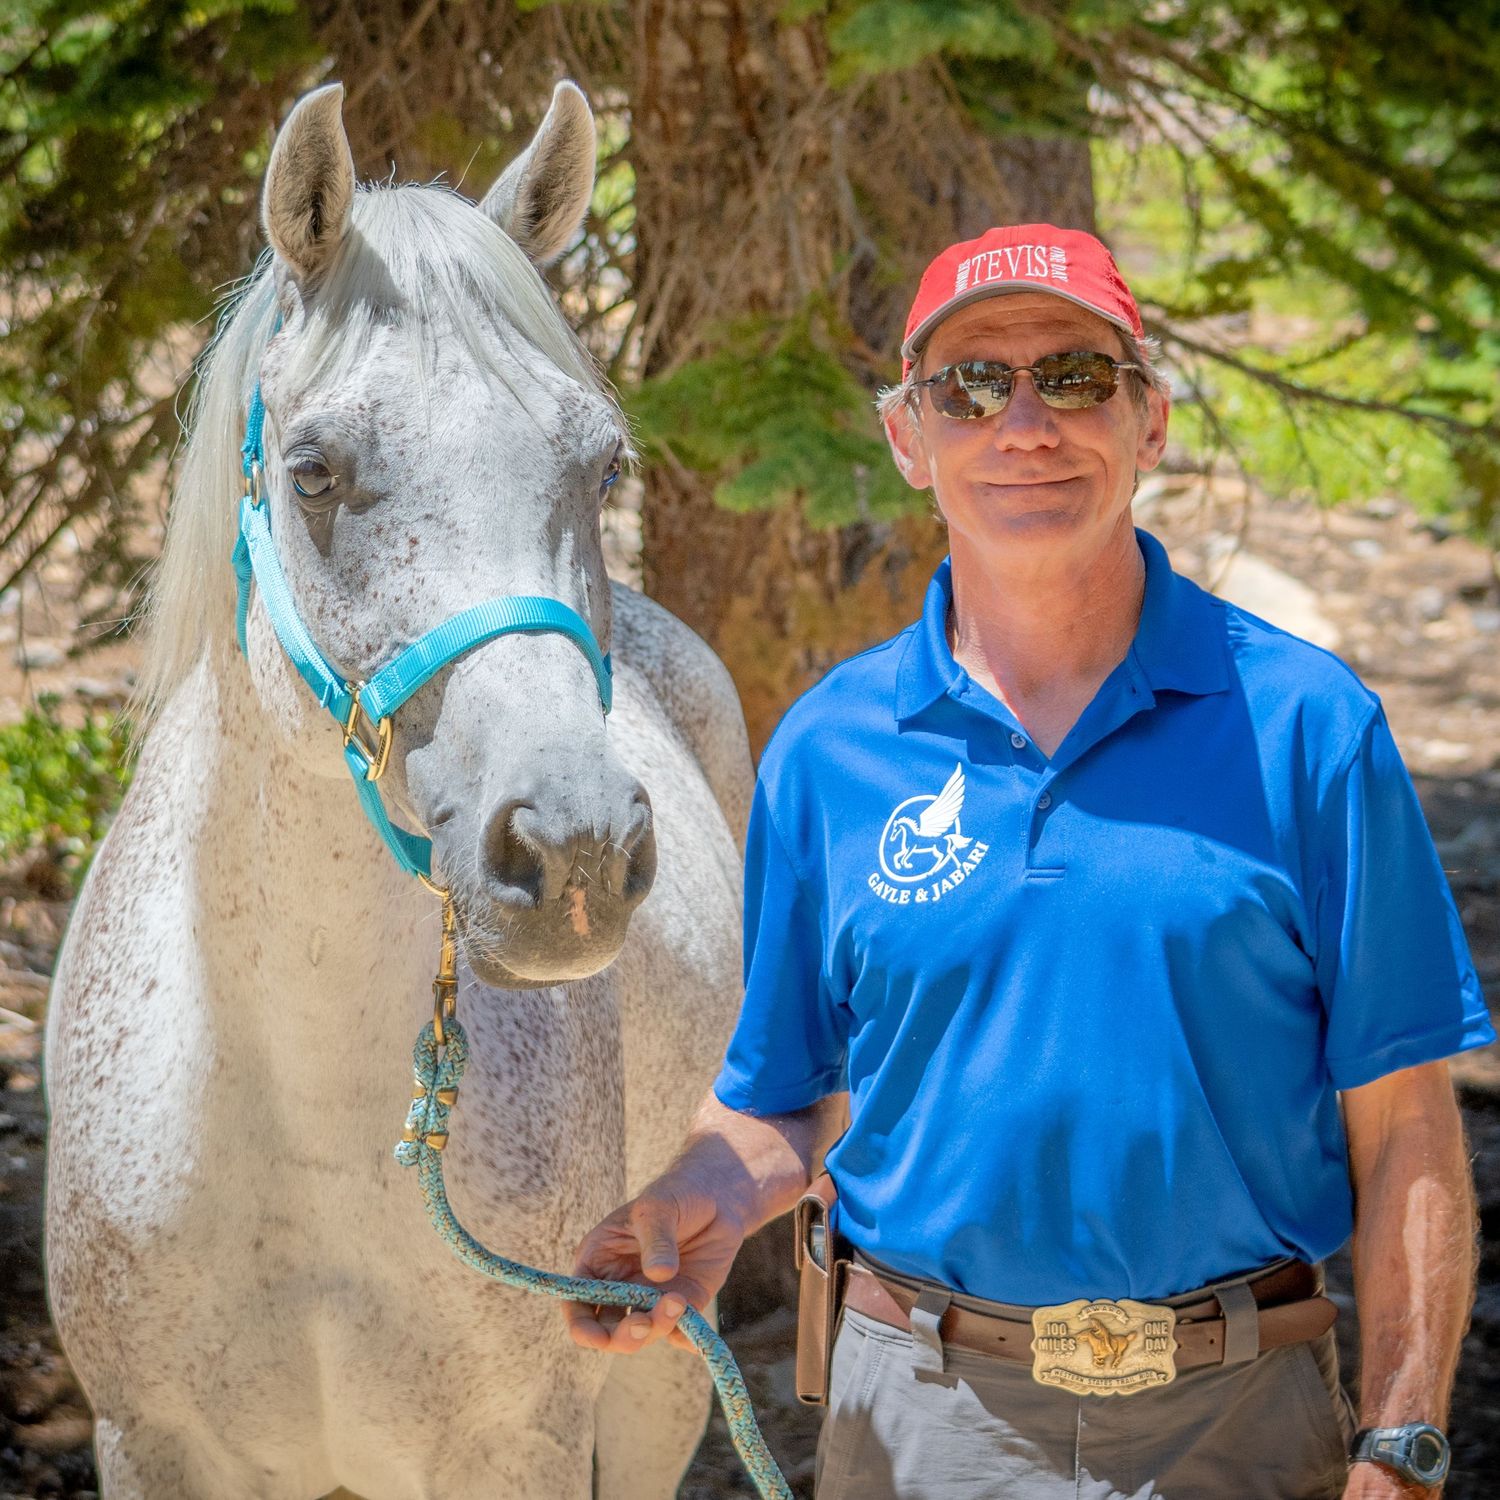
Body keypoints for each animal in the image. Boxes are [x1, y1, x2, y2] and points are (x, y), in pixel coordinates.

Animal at [43, 80, 752, 1500]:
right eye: (312, 470)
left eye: (604, 467)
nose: (576, 849)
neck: (299, 1119)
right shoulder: (150, 1444)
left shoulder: (522, 1445)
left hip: (659, 1366)